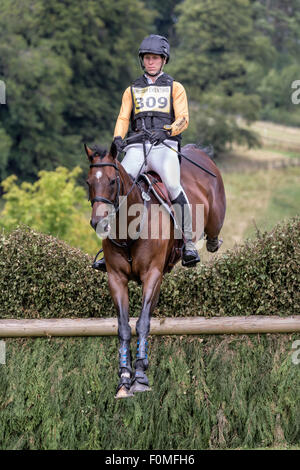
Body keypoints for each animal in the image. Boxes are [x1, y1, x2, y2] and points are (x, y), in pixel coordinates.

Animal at [84, 139, 225, 396]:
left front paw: (140, 376)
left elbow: (142, 323)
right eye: (89, 182)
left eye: (112, 181)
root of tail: (198, 151)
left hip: (213, 219)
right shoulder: (116, 279)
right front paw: (124, 377)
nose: (99, 222)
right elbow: (123, 327)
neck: (130, 227)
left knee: (211, 235)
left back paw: (199, 247)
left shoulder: (152, 275)